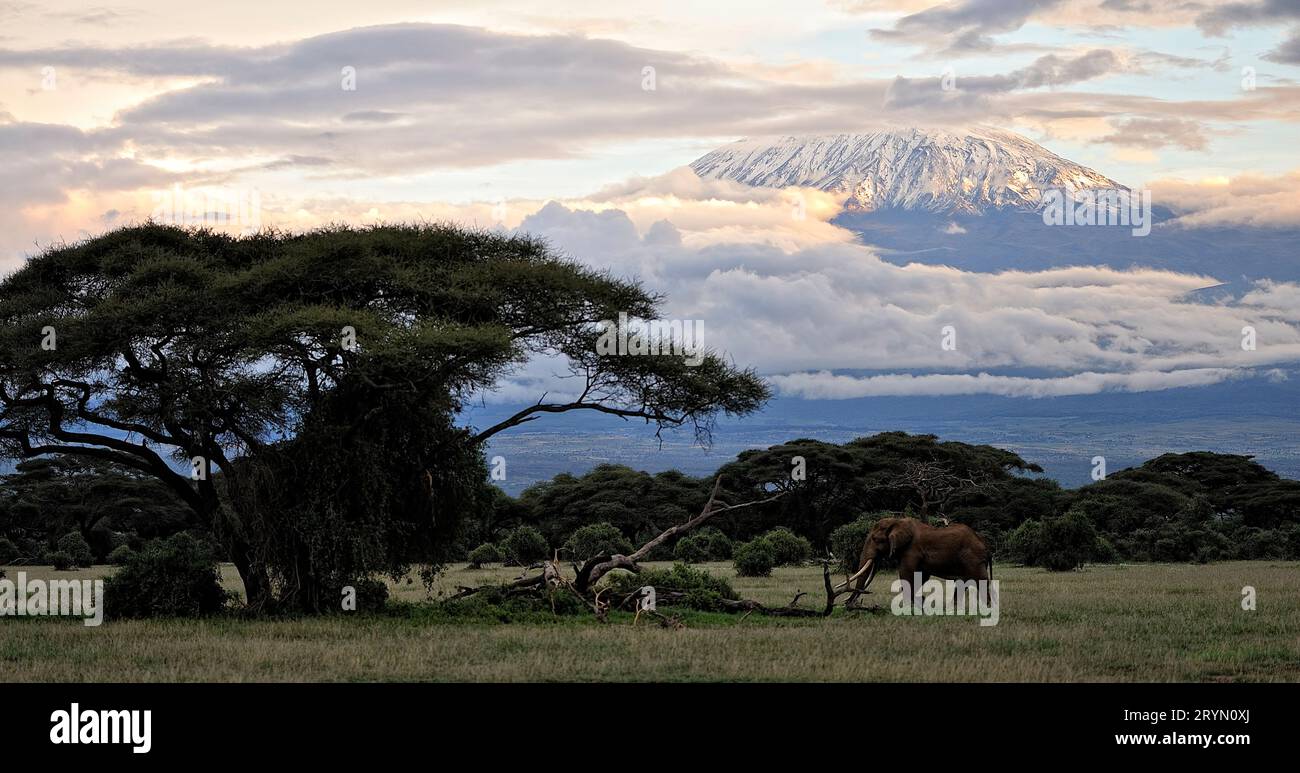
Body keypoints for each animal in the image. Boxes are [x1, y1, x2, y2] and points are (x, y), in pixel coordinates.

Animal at [837, 517, 987, 608]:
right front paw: (919, 604)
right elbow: (921, 576)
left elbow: (906, 573)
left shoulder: (912, 550)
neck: (897, 521)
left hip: (973, 557)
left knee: (981, 580)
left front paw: (909, 607)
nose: (847, 604)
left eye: (875, 539)